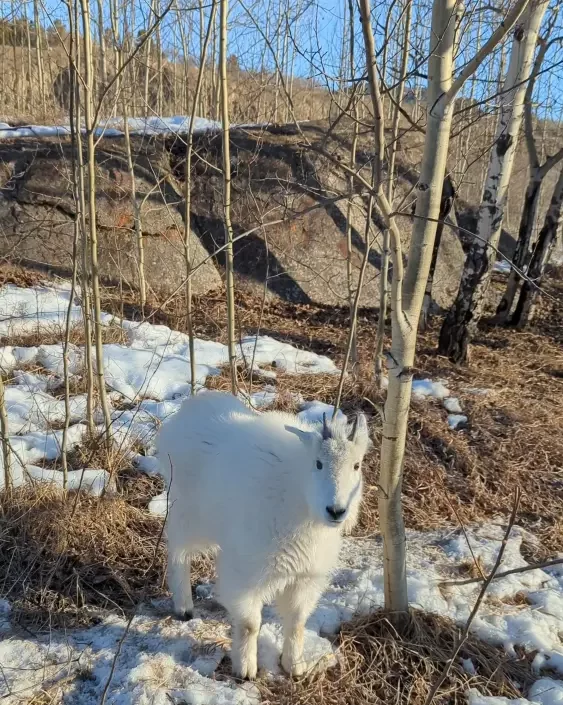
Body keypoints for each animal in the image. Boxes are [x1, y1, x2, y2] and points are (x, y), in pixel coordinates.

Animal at [156, 390, 372, 676]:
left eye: (357, 465)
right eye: (318, 463)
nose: (336, 510)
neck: (298, 499)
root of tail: (186, 411)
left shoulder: (304, 576)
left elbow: (297, 622)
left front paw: (295, 666)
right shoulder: (247, 574)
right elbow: (250, 624)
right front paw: (245, 669)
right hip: (188, 512)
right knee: (177, 551)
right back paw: (183, 607)